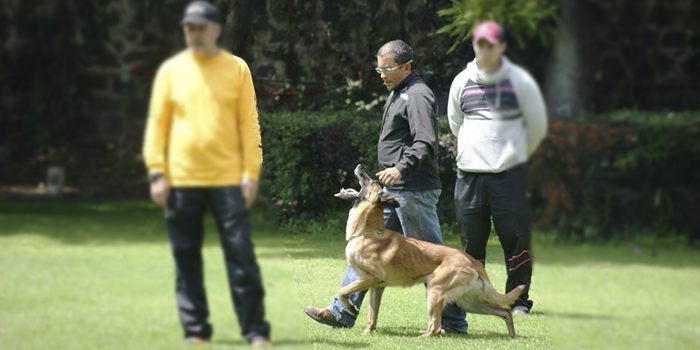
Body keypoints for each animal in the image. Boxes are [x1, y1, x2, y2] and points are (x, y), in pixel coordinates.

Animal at [334, 165, 524, 338]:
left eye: (372, 181)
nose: (359, 167)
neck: (368, 232)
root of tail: (472, 261)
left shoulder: (371, 278)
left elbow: (342, 291)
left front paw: (350, 307)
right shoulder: (376, 287)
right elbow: (371, 316)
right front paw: (367, 330)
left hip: (434, 290)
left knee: (435, 328)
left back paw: (422, 336)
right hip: (468, 301)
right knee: (505, 311)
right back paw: (511, 336)